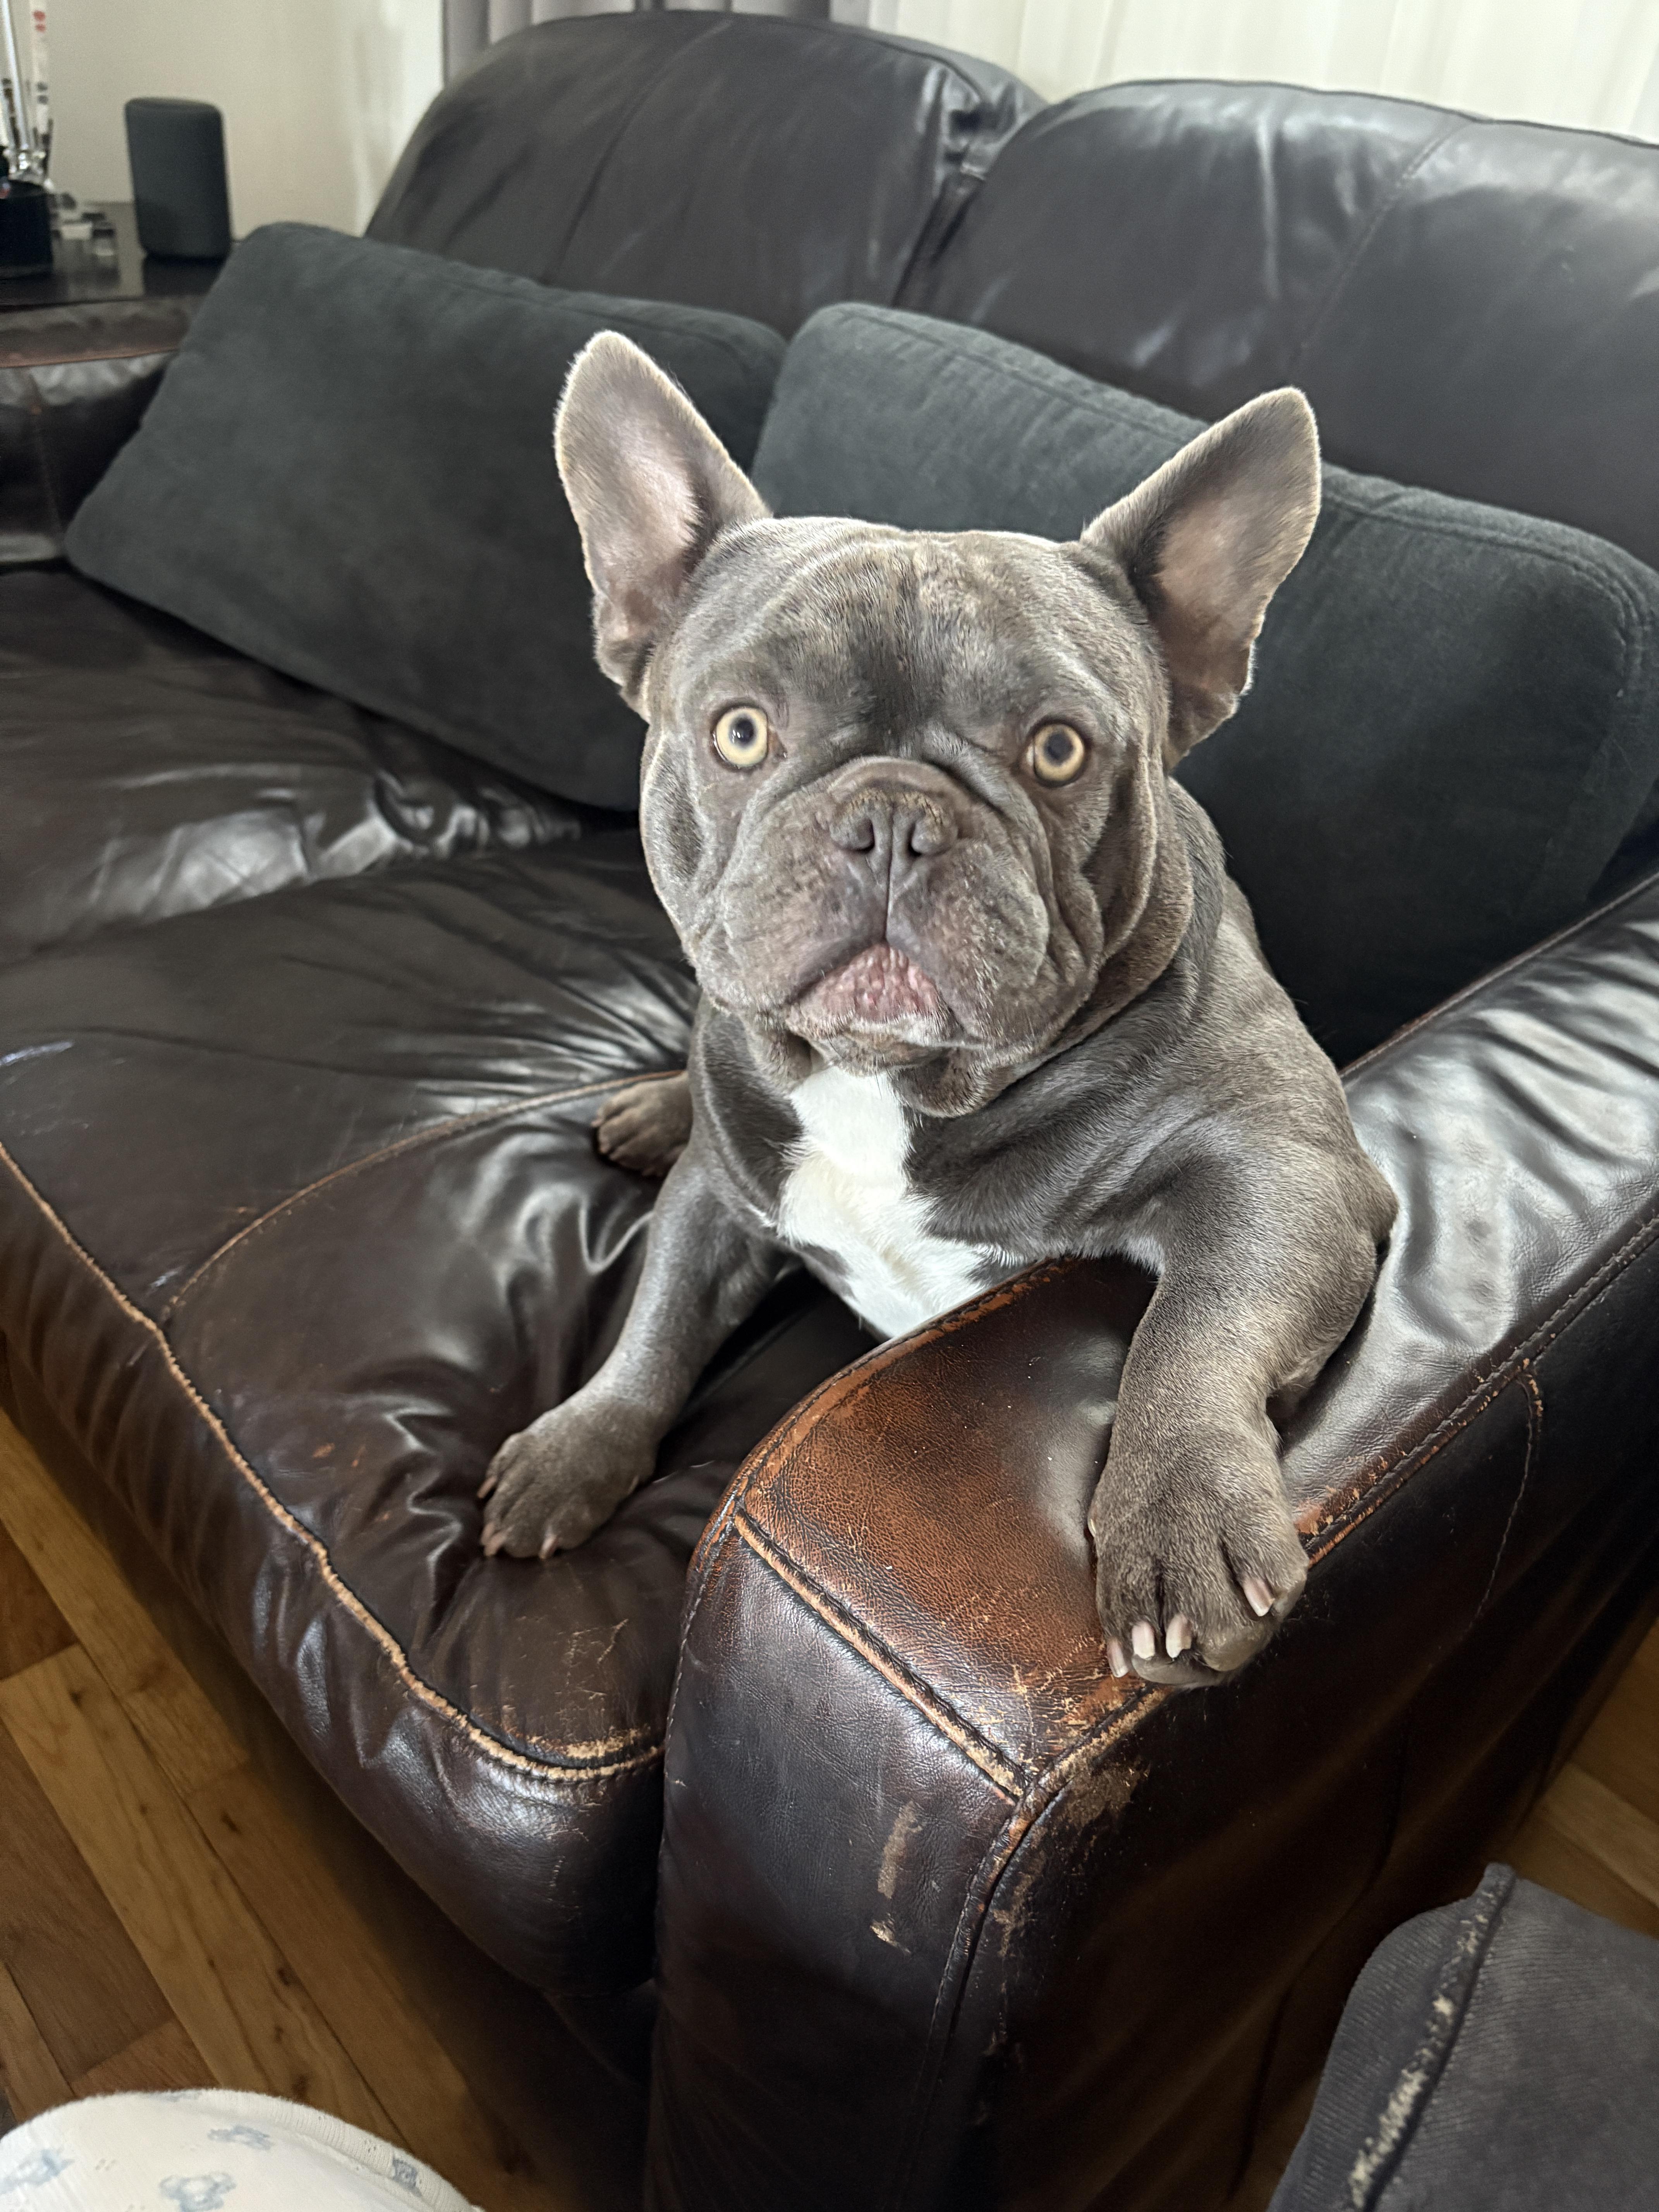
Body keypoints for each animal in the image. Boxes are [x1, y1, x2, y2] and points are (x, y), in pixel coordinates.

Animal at [478, 332, 1397, 1687]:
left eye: (1058, 751)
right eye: (740, 732)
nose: (893, 819)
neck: (886, 1084)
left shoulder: (1290, 1171)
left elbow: (1198, 1322)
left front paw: (1181, 1518)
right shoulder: (720, 1197)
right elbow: (654, 1325)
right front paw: (578, 1445)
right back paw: (651, 1107)